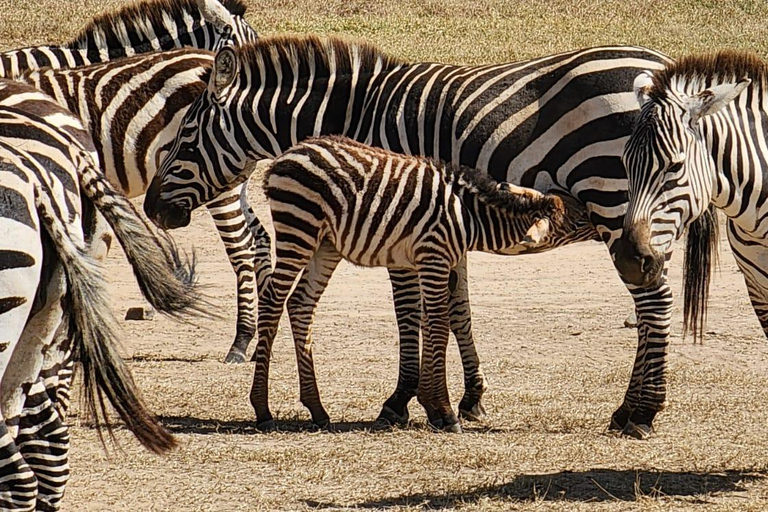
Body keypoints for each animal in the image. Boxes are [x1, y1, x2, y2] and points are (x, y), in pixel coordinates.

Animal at [255, 134, 584, 430]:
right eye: (575, 220)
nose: (591, 210)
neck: (470, 218)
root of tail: (289, 153)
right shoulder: (433, 256)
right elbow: (438, 324)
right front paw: (444, 411)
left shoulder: (438, 261)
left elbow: (435, 322)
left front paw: (430, 405)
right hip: (299, 227)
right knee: (272, 299)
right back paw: (262, 409)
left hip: (325, 243)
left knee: (301, 303)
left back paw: (317, 408)